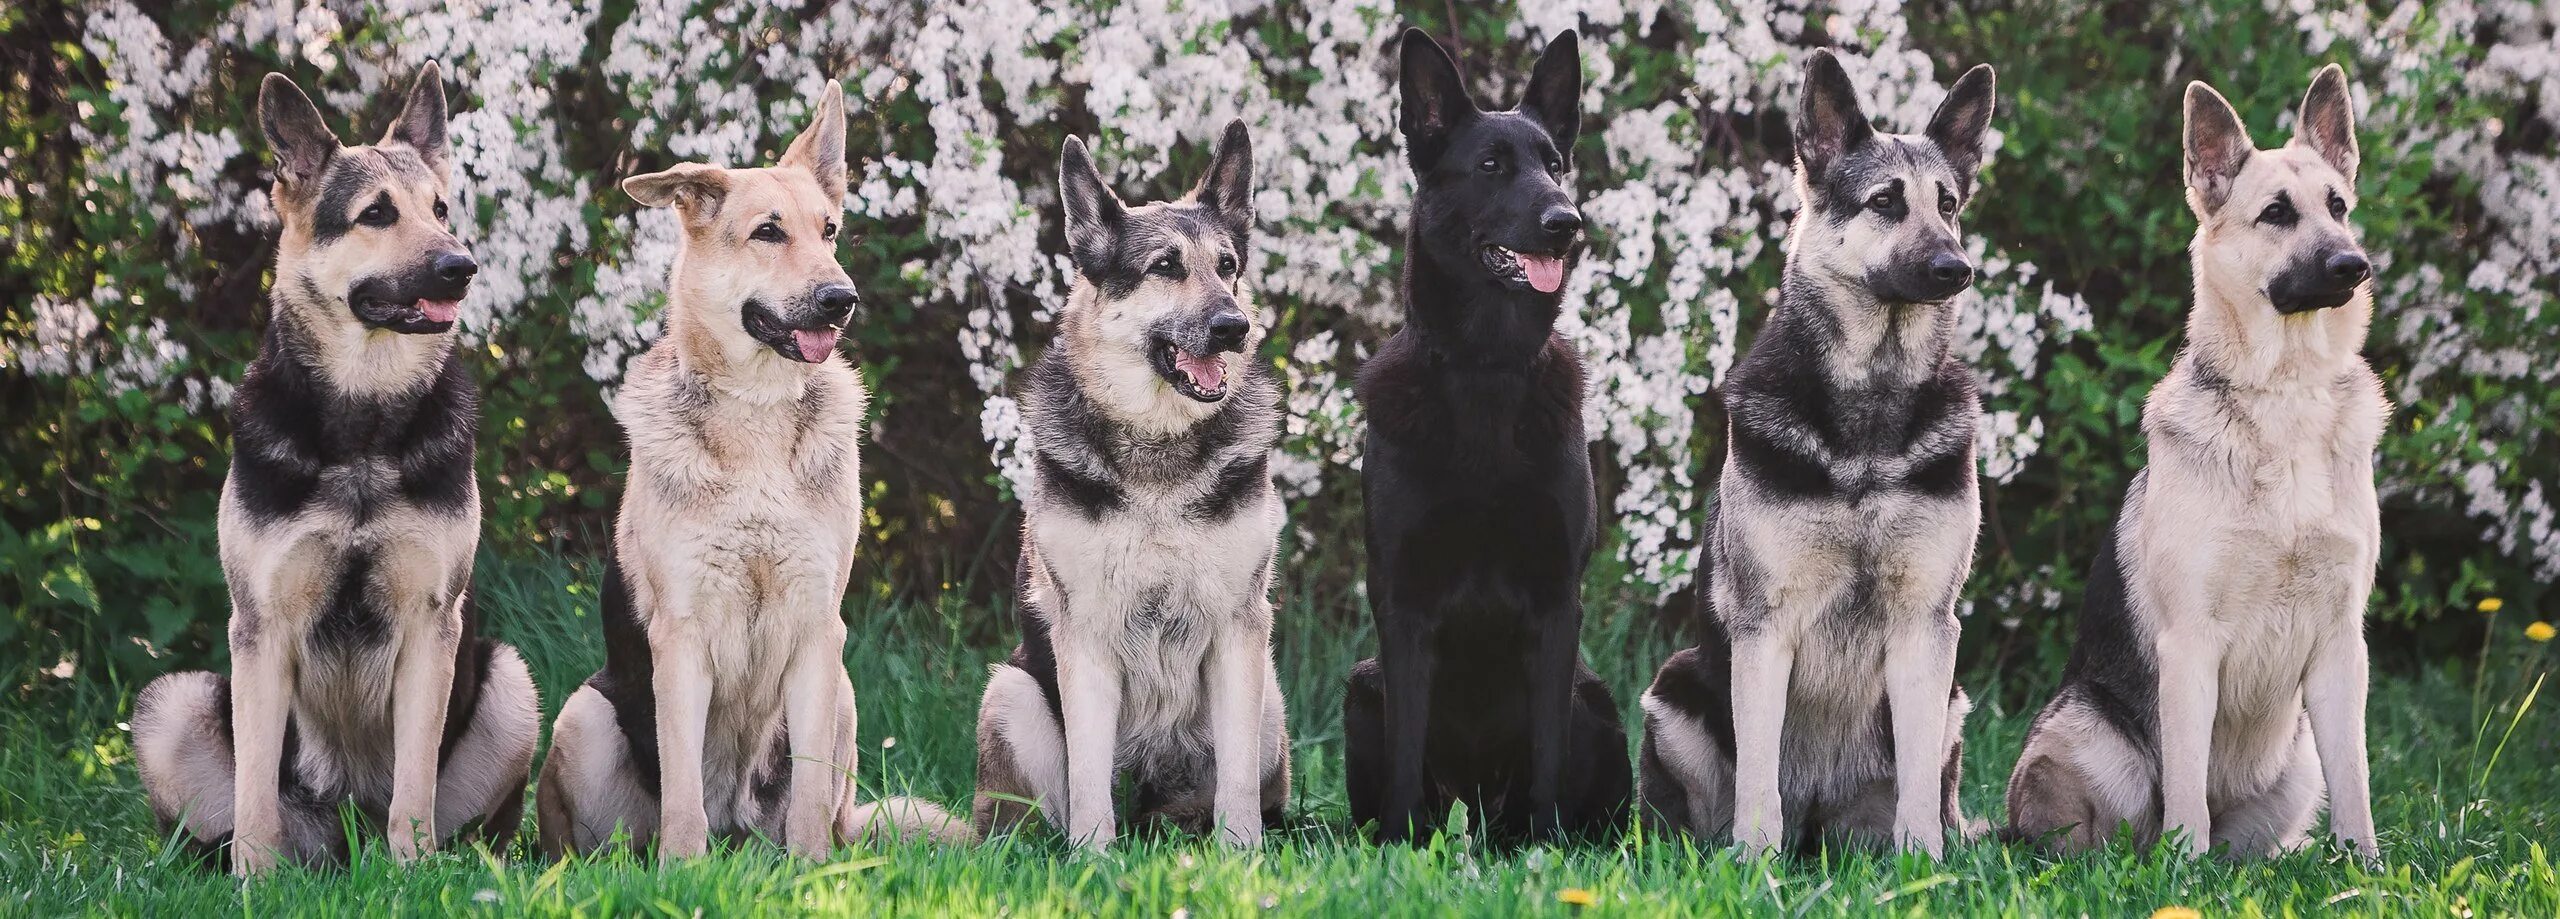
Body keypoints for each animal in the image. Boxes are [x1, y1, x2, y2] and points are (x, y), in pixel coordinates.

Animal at [129, 63, 540, 880]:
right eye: (376, 214)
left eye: (442, 209)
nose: (461, 266)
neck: (363, 426)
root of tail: (345, 829)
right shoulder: (262, 626)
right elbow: (256, 781)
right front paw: (253, 882)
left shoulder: (431, 625)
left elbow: (414, 777)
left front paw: (412, 873)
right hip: (172, 702)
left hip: (512, 685)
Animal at [967, 124, 1290, 855]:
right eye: (1165, 266)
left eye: (1227, 265)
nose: (1234, 327)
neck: (1158, 444)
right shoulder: (1084, 634)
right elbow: (1089, 771)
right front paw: (1093, 857)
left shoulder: (1240, 630)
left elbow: (1235, 781)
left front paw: (1241, 855)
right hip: (1010, 692)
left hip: (1270, 701)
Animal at [1331, 27, 1628, 849]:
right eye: (1491, 166)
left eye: (1554, 164)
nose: (1567, 222)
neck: (1485, 368)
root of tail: (1480, 814)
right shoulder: (1400, 600)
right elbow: (1406, 750)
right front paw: (1398, 847)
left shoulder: (1559, 601)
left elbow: (1549, 752)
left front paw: (1550, 848)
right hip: (1362, 686)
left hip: (1597, 701)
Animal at [1638, 50, 1996, 860]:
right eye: (1886, 201)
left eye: (1950, 204)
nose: (1955, 267)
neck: (1870, 403)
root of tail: (1820, 820)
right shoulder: (1765, 629)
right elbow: (1758, 774)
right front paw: (1754, 865)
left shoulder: (1926, 627)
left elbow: (1919, 785)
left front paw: (1923, 864)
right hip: (1674, 690)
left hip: (1954, 697)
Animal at [2007, 64, 2385, 865]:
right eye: (2276, 213)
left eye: (2338, 205)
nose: (2354, 264)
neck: (2284, 394)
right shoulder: (2189, 647)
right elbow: (2184, 783)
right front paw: (2184, 870)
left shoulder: (2342, 647)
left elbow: (2357, 776)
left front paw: (2366, 867)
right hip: (2092, 741)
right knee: (2097, 834)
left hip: (2297, 765)